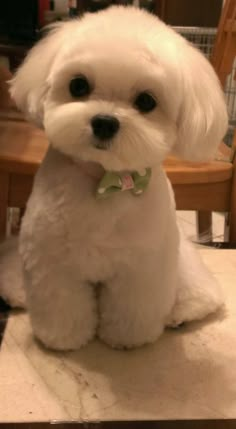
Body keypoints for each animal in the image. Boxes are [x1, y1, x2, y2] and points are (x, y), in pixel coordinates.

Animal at [0, 5, 229, 350]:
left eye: (146, 101)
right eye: (78, 85)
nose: (105, 122)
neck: (104, 182)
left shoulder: (141, 270)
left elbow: (131, 310)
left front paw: (126, 339)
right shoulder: (53, 264)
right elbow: (61, 307)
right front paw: (63, 339)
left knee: (200, 293)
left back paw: (179, 314)